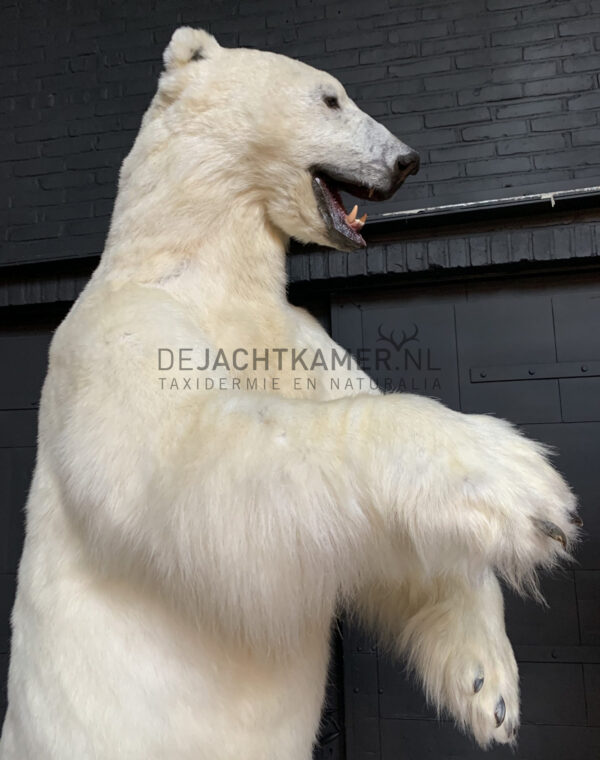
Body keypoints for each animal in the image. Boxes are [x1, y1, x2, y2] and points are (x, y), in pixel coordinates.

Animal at [0, 25, 580, 760]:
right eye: (331, 97)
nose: (408, 159)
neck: (197, 262)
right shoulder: (117, 332)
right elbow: (201, 459)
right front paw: (522, 485)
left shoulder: (297, 338)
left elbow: (390, 548)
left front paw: (487, 685)